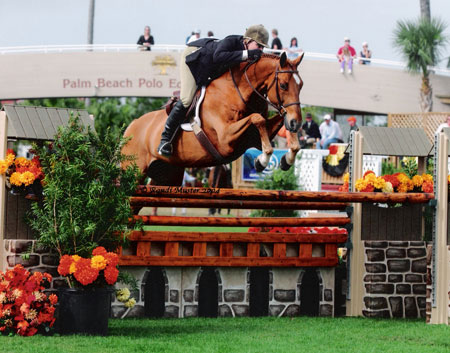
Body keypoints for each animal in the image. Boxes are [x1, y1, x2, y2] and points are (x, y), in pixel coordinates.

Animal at [121, 51, 304, 187]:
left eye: (301, 85)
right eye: (283, 85)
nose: (296, 122)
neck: (240, 92)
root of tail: (130, 127)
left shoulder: (252, 137)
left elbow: (273, 124)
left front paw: (287, 159)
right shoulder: (225, 139)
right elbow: (257, 118)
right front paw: (263, 160)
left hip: (166, 176)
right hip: (134, 171)